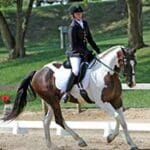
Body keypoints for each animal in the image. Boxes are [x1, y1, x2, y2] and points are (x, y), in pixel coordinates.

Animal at [3, 45, 137, 150]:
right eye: (125, 62)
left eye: (134, 63)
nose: (131, 84)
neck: (106, 73)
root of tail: (38, 72)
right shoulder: (102, 102)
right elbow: (118, 117)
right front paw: (110, 138)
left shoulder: (117, 100)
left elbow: (122, 121)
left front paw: (131, 143)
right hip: (53, 101)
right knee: (59, 120)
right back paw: (80, 140)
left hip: (52, 102)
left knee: (46, 121)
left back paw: (51, 146)